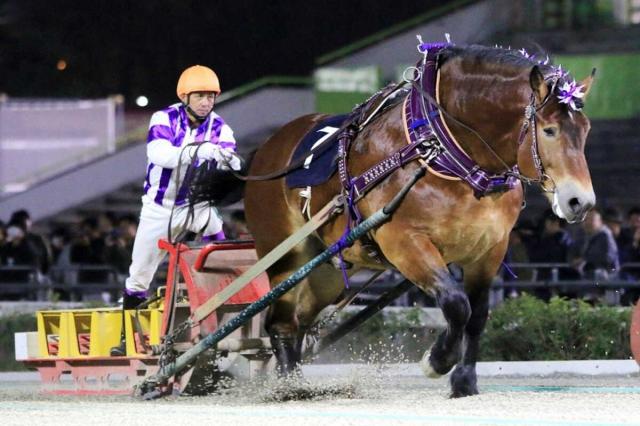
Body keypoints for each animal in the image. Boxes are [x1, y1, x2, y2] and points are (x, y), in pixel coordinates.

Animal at [241, 45, 596, 398]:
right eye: (549, 130)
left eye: (586, 130)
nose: (581, 202)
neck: (441, 150)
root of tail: (269, 147)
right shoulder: (405, 243)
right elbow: (457, 304)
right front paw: (437, 360)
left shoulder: (490, 249)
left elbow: (477, 315)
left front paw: (464, 381)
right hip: (287, 258)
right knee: (281, 323)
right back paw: (289, 387)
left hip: (327, 268)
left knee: (299, 320)